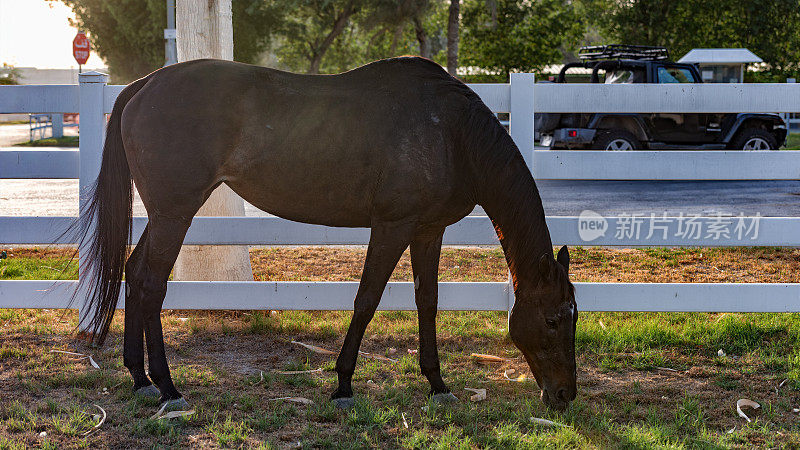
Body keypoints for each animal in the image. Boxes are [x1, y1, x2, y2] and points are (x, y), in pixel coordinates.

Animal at [73, 56, 576, 412]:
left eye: (573, 317)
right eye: (553, 319)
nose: (565, 395)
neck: (451, 133)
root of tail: (145, 84)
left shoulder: (428, 230)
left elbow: (427, 300)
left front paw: (437, 383)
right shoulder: (392, 226)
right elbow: (367, 299)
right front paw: (344, 385)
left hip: (165, 215)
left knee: (134, 273)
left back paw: (140, 378)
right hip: (174, 214)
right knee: (151, 282)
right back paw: (167, 387)